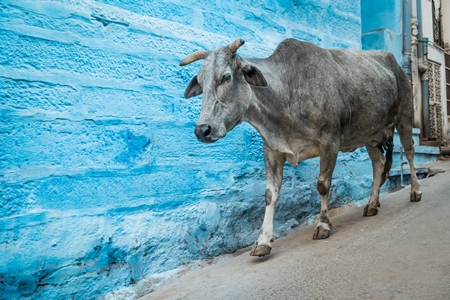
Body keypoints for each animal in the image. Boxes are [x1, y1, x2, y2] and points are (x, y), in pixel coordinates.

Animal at [179, 38, 422, 256]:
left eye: (226, 76)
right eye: (200, 81)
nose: (202, 130)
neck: (287, 93)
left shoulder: (330, 142)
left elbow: (323, 185)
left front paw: (323, 224)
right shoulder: (272, 151)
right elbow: (270, 194)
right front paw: (263, 241)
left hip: (404, 117)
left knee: (410, 153)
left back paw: (415, 191)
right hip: (369, 135)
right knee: (378, 164)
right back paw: (372, 204)